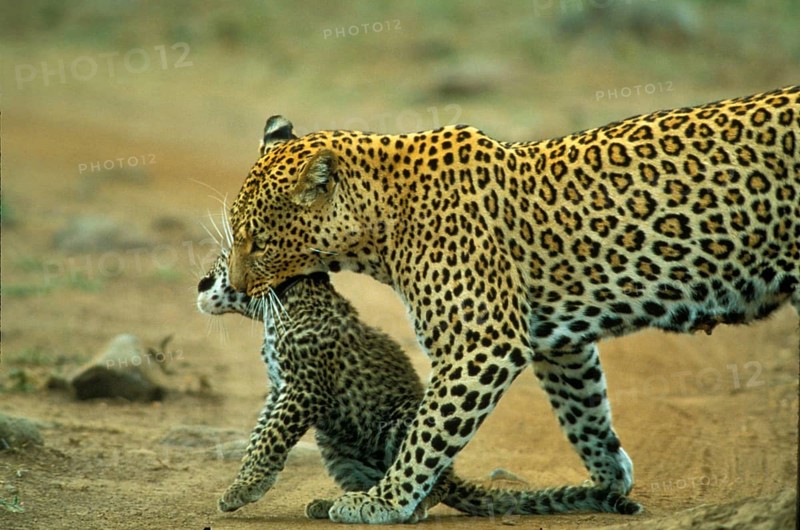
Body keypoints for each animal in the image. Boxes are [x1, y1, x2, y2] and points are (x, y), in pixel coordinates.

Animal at [196, 245, 641, 519]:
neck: (278, 306)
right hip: (336, 448)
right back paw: (336, 503)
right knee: (370, 481)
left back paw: (414, 508)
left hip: (402, 421)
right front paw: (243, 484)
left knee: (430, 474)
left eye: (223, 263)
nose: (201, 282)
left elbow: (270, 439)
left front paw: (240, 492)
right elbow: (259, 435)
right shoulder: (280, 389)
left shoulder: (303, 388)